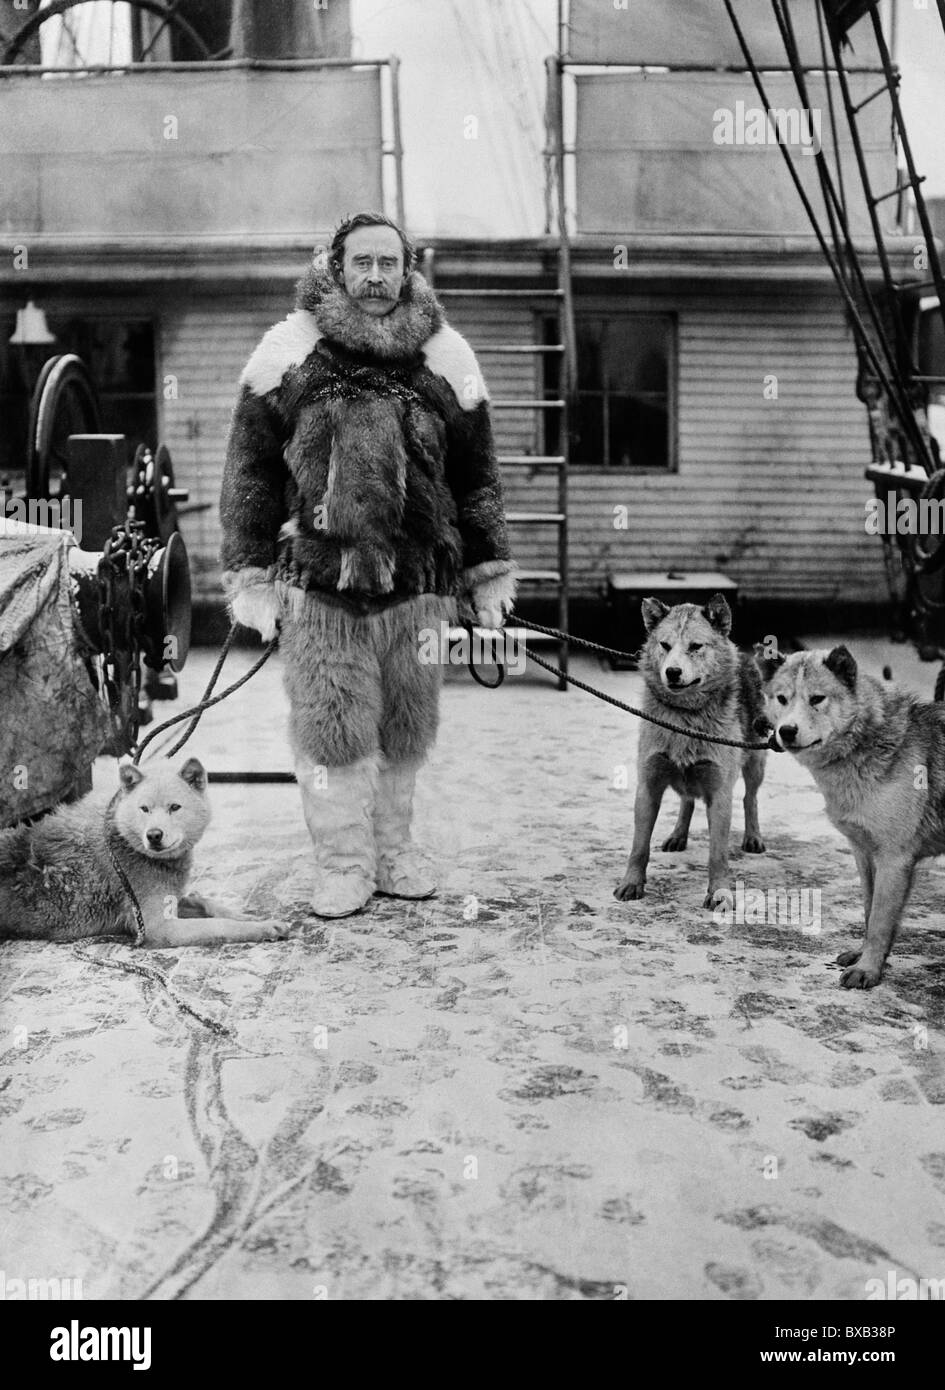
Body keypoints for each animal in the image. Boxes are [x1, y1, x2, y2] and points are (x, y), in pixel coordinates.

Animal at [611, 594, 767, 911]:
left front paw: (719, 892)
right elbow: (639, 846)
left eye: (696, 646)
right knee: (687, 800)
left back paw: (753, 836)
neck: (684, 717)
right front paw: (631, 883)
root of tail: (746, 654)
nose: (672, 672)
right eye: (665, 645)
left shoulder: (720, 793)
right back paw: (678, 835)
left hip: (755, 761)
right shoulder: (648, 786)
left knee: (750, 798)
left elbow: (717, 854)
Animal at [761, 647, 945, 989]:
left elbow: (880, 922)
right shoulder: (864, 855)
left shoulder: (894, 860)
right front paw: (865, 958)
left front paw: (868, 970)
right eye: (782, 698)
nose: (786, 731)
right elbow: (869, 912)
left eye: (817, 699)